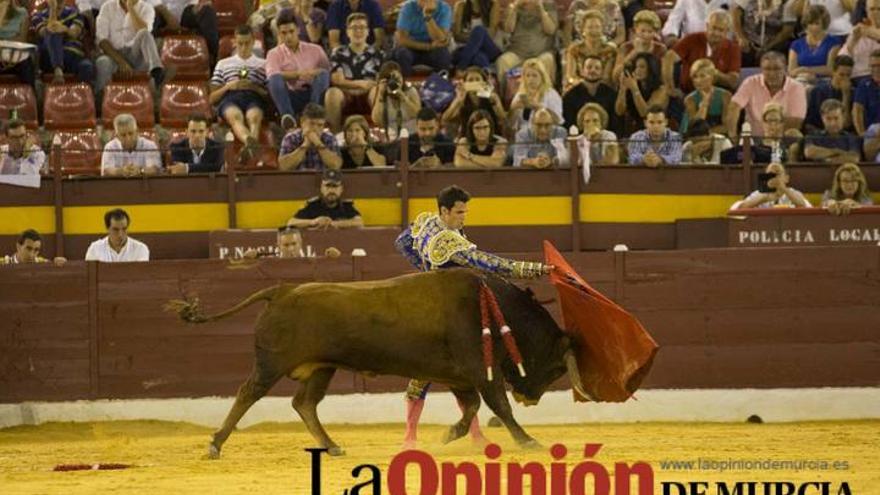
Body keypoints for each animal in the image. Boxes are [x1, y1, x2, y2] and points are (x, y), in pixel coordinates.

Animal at [168, 270, 588, 460]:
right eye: (557, 369)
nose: (530, 397)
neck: (492, 305)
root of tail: (281, 290)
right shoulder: (479, 370)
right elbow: (496, 405)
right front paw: (528, 440)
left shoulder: (460, 376)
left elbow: (470, 408)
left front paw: (448, 434)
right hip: (272, 365)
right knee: (247, 394)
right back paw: (215, 445)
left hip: (322, 368)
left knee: (305, 403)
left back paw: (332, 446)